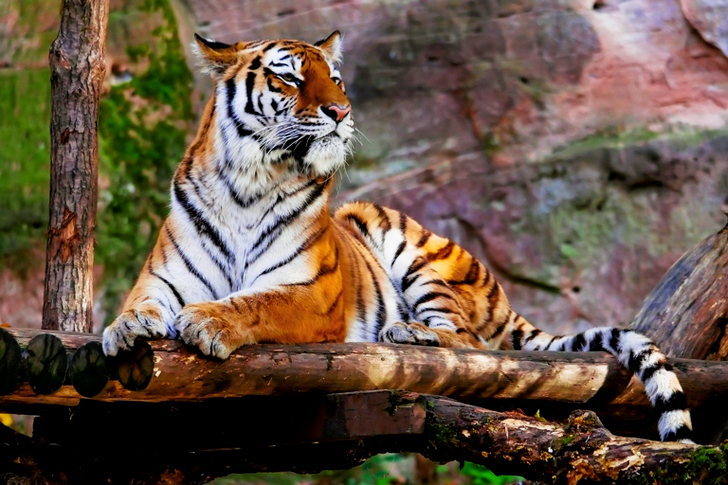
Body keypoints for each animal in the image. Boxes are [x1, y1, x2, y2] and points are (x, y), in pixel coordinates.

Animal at [101, 31, 693, 443]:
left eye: (336, 80)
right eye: (290, 78)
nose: (341, 111)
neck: (248, 183)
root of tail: (504, 297)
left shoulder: (312, 294)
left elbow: (256, 303)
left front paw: (208, 321)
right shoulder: (163, 278)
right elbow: (140, 304)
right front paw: (123, 329)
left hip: (410, 248)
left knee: (471, 343)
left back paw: (409, 333)